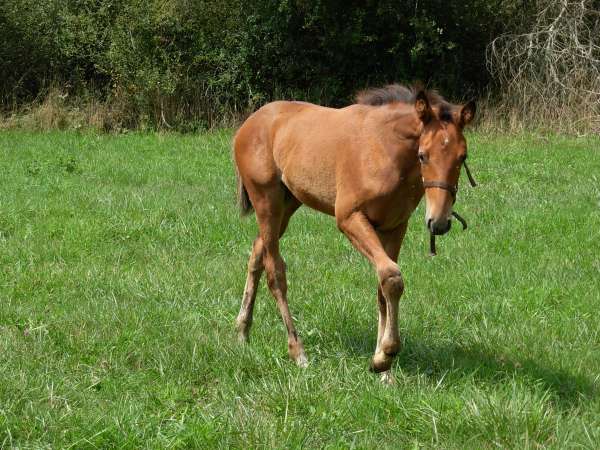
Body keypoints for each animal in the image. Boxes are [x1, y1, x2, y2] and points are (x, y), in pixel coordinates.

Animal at [232, 84, 476, 380]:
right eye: (422, 155)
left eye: (462, 156)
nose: (439, 223)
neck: (385, 150)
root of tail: (250, 123)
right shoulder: (349, 218)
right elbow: (391, 276)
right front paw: (385, 356)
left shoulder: (395, 226)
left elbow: (384, 287)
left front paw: (383, 367)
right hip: (266, 202)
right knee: (275, 272)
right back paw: (297, 352)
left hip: (288, 204)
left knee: (257, 253)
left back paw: (242, 331)